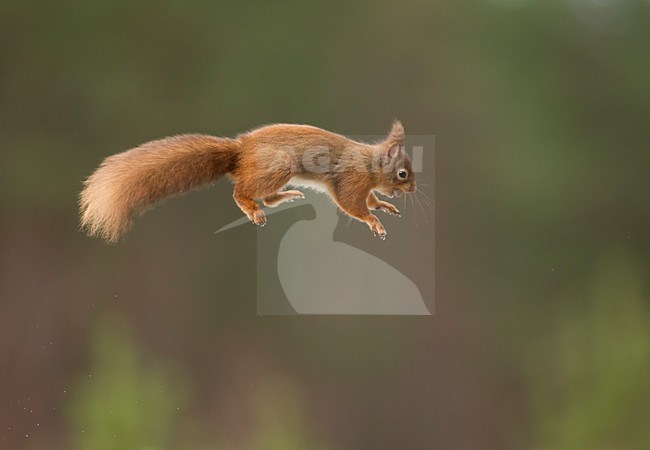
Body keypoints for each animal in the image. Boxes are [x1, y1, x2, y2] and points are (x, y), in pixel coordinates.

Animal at [79, 120, 416, 243]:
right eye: (403, 173)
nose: (412, 188)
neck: (371, 164)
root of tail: (241, 151)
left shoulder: (363, 186)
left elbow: (370, 199)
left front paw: (384, 206)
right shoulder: (351, 181)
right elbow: (352, 205)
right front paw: (374, 222)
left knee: (264, 195)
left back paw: (285, 197)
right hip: (277, 167)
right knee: (242, 192)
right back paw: (253, 209)